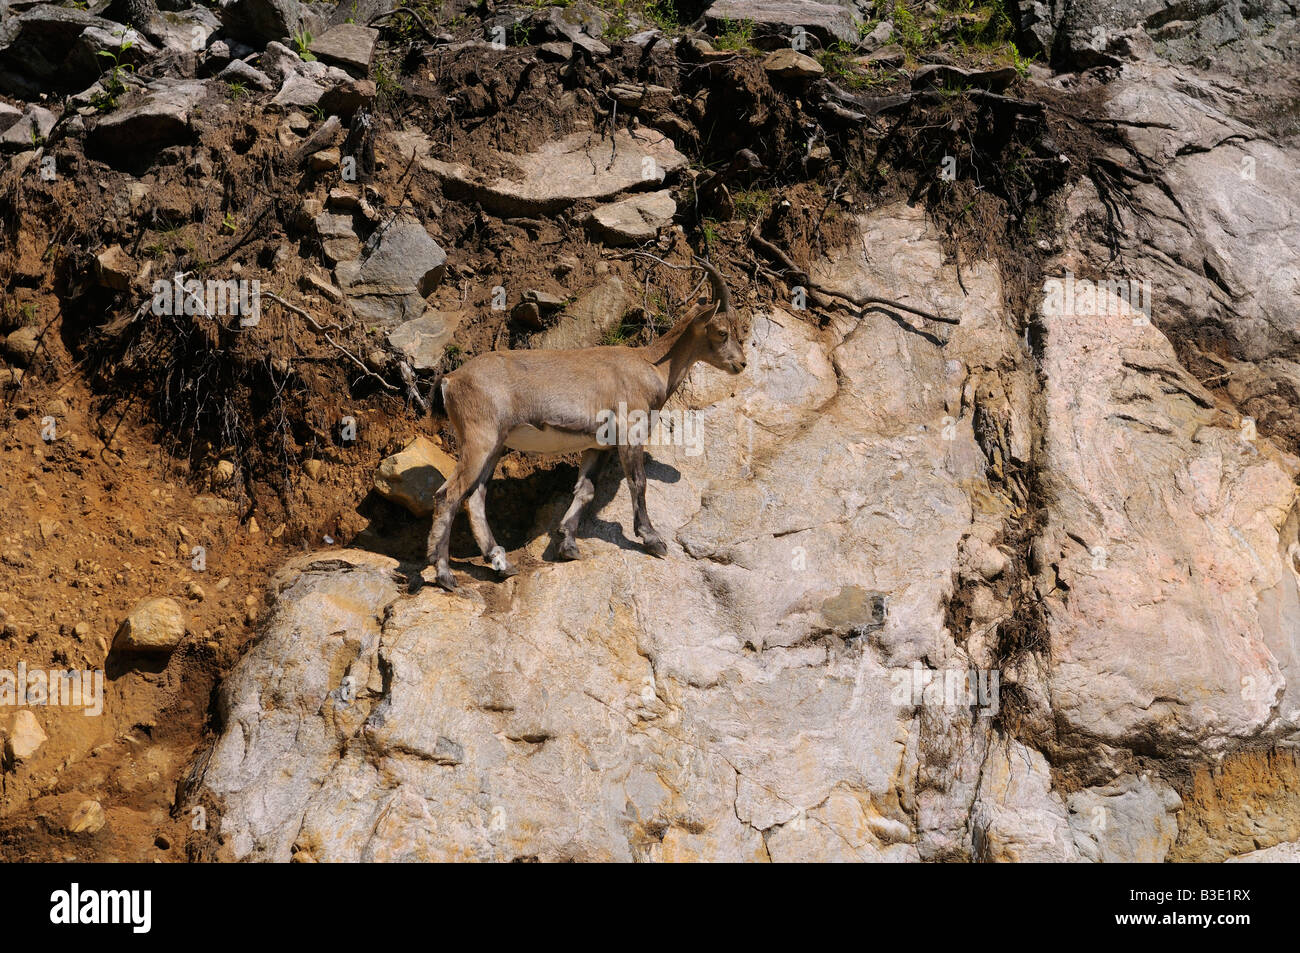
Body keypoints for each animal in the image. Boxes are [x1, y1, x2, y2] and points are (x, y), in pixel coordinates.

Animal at [426, 260, 750, 591]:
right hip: (480, 438)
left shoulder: (598, 445)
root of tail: (450, 380)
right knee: (447, 496)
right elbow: (638, 483)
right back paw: (445, 574)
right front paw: (652, 539)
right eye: (722, 331)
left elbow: (585, 490)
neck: (652, 366)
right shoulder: (629, 434)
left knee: (475, 498)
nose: (741, 363)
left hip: (494, 445)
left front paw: (567, 544)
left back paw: (501, 564)